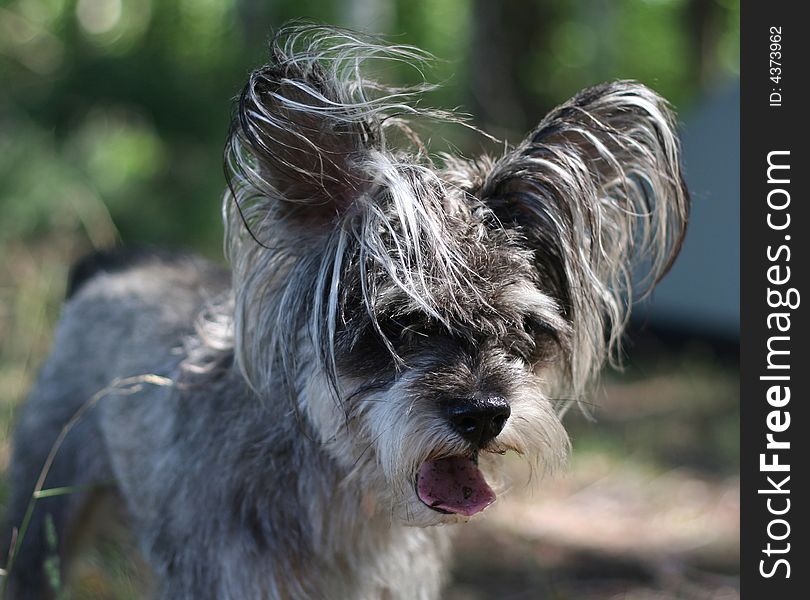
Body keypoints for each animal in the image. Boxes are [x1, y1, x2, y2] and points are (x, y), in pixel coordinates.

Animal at [3, 24, 684, 600]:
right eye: (404, 323)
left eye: (526, 329)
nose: (486, 414)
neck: (343, 491)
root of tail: (112, 266)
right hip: (40, 517)